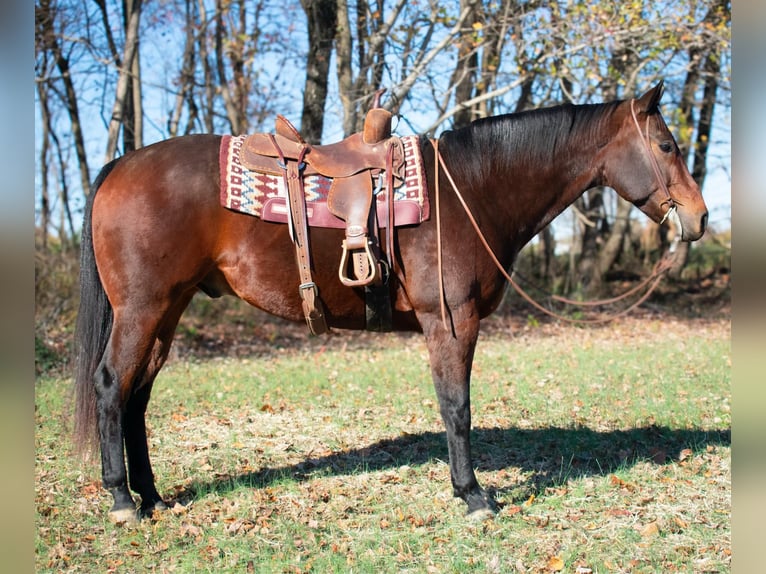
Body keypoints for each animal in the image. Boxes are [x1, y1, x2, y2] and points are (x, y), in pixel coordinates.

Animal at [73, 82, 708, 524]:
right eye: (666, 145)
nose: (699, 218)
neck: (470, 191)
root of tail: (120, 166)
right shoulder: (451, 323)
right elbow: (457, 407)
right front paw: (473, 496)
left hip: (167, 311)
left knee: (136, 396)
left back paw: (152, 497)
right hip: (143, 310)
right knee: (110, 386)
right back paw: (122, 500)